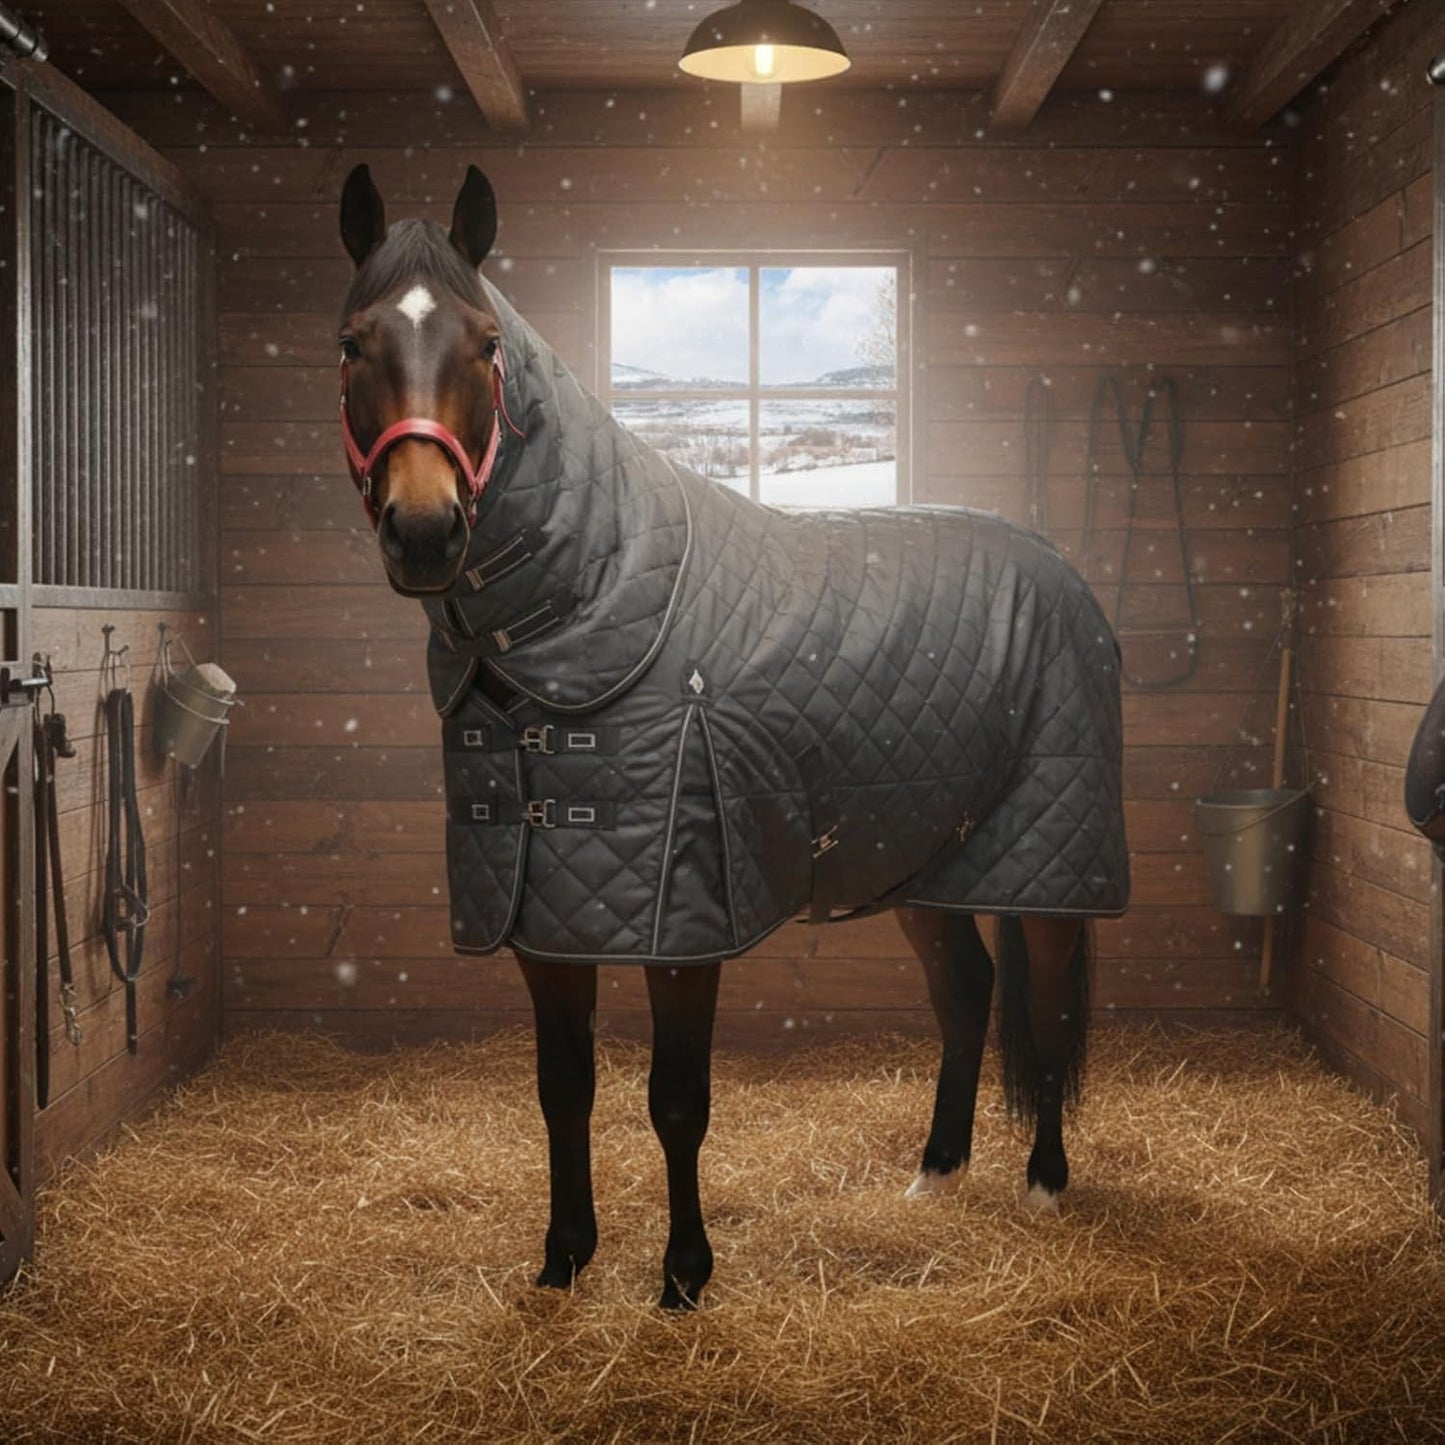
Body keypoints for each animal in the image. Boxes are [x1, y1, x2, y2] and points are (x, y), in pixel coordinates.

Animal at [334, 163, 1128, 1310]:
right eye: (352, 343)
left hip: (1050, 866)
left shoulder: (681, 921)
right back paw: (934, 1171)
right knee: (964, 990)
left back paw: (1043, 1184)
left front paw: (681, 1278)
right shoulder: (547, 917)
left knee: (1051, 1008)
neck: (588, 612)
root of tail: (1062, 573)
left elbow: (675, 1099)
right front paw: (561, 1261)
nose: (426, 529)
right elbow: (562, 1088)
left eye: (484, 344)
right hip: (922, 861)